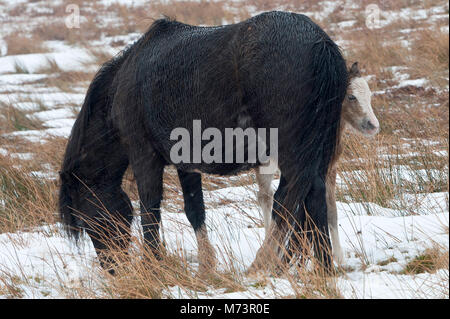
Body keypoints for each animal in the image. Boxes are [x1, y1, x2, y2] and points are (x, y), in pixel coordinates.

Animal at [59, 11, 348, 274]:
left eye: (87, 218)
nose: (113, 269)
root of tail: (320, 43)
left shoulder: (144, 156)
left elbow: (150, 210)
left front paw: (154, 265)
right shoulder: (185, 162)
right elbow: (194, 209)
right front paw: (206, 266)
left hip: (290, 151)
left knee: (290, 202)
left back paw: (272, 262)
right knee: (311, 198)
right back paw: (321, 268)